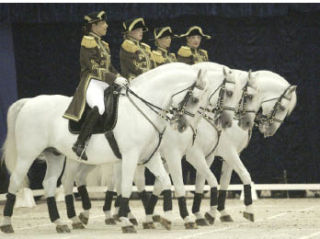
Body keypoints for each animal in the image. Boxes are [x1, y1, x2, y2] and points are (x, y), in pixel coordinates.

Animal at [1, 63, 211, 233]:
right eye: (194, 99)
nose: (182, 126)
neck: (141, 110)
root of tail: (29, 102)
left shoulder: (150, 157)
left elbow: (166, 182)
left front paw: (170, 218)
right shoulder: (130, 156)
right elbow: (125, 187)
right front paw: (126, 221)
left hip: (55, 156)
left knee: (49, 184)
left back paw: (61, 223)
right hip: (28, 154)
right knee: (16, 181)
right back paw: (7, 224)